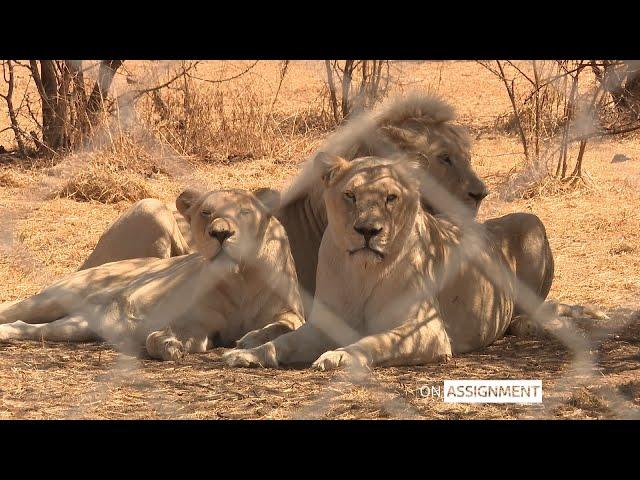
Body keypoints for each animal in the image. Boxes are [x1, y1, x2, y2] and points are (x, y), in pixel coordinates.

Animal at [0, 188, 304, 360]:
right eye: (206, 212)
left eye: (244, 212)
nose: (221, 233)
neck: (239, 278)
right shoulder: (196, 321)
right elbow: (157, 336)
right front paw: (168, 344)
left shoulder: (290, 313)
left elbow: (281, 325)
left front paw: (252, 339)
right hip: (54, 299)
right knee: (15, 309)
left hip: (79, 325)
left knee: (31, 328)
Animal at [222, 156, 516, 370]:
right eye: (350, 195)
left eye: (391, 198)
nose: (367, 230)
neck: (363, 273)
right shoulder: (323, 325)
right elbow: (286, 342)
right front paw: (251, 355)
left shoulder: (428, 330)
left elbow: (376, 341)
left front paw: (339, 356)